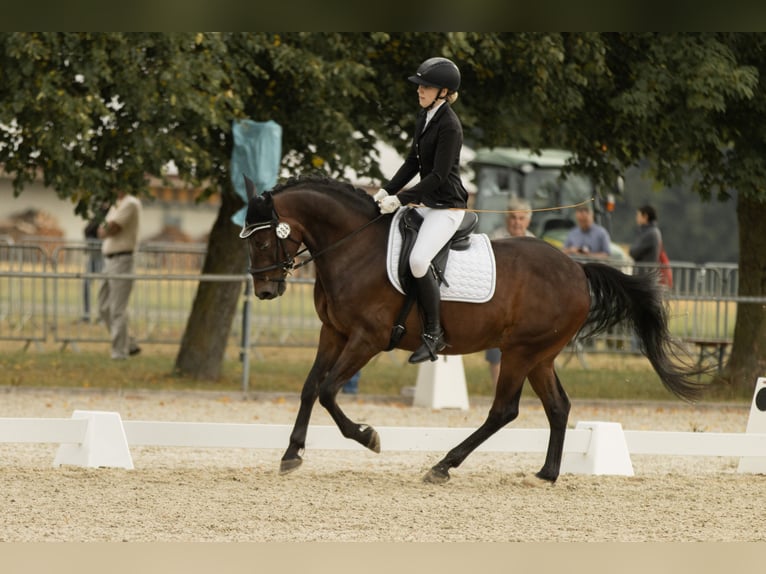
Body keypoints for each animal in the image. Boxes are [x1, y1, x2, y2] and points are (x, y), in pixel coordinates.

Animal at [242, 177, 708, 486]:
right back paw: (546, 473)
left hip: (520, 352)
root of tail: (577, 268)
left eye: (262, 241)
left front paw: (368, 436)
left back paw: (443, 465)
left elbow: (328, 391)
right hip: (540, 355)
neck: (353, 247)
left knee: (504, 411)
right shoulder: (333, 333)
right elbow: (310, 387)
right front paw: (291, 454)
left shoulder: (366, 339)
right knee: (558, 406)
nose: (265, 290)